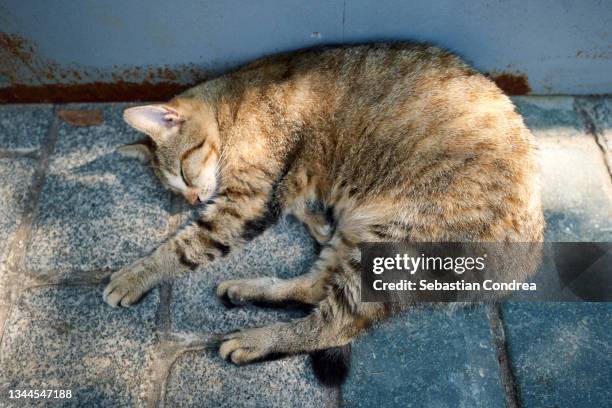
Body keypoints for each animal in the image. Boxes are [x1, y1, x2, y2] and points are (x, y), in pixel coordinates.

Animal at [103, 43, 544, 370]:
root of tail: (525, 260)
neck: (233, 103)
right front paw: (316, 218)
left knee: (334, 325)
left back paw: (255, 340)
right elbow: (299, 204)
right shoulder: (280, 188)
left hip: (398, 241)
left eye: (183, 170)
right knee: (317, 284)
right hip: (361, 238)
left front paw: (135, 275)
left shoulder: (245, 202)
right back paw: (250, 290)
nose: (195, 199)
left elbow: (185, 245)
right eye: (175, 189)